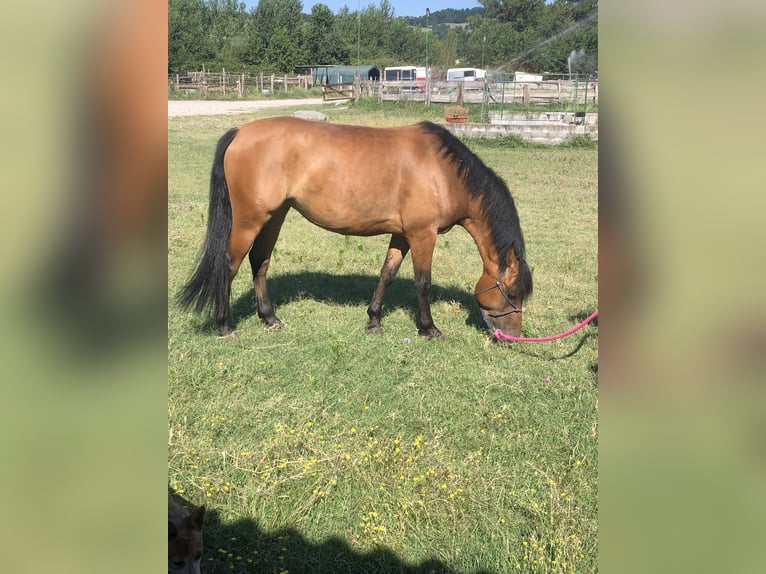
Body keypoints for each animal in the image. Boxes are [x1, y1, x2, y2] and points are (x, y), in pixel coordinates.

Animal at [182, 118, 536, 340]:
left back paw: (270, 318)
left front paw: (374, 321)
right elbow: (423, 282)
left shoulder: (402, 234)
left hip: (275, 215)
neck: (444, 172)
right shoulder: (423, 234)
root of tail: (239, 132)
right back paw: (224, 325)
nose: (512, 336)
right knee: (229, 264)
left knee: (260, 262)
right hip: (249, 219)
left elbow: (387, 274)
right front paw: (429, 328)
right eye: (512, 293)